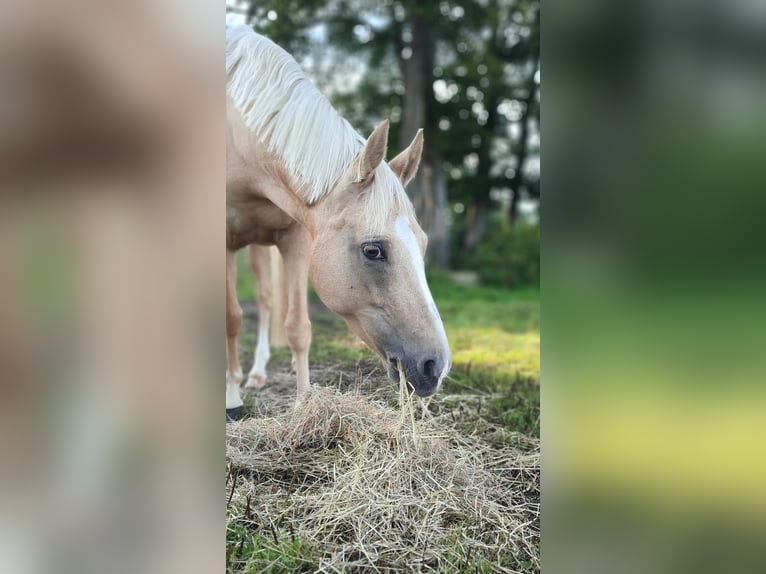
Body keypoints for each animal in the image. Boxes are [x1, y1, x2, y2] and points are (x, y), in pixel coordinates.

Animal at [225, 25, 451, 416]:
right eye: (373, 250)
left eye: (422, 245)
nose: (435, 367)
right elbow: (232, 318)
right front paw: (230, 397)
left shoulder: (297, 239)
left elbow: (298, 327)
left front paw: (303, 406)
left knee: (267, 300)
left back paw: (256, 373)